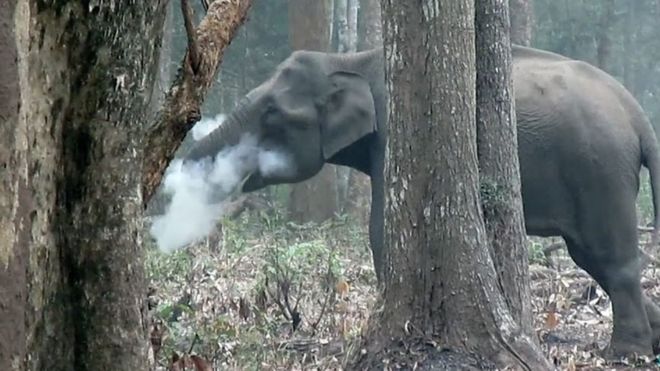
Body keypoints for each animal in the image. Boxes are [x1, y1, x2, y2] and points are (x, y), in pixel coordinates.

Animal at [183, 45, 660, 358]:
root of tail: (638, 115)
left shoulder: (394, 134)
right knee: (591, 257)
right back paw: (652, 339)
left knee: (610, 257)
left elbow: (381, 230)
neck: (349, 61)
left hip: (599, 171)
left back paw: (625, 355)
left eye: (271, 114)